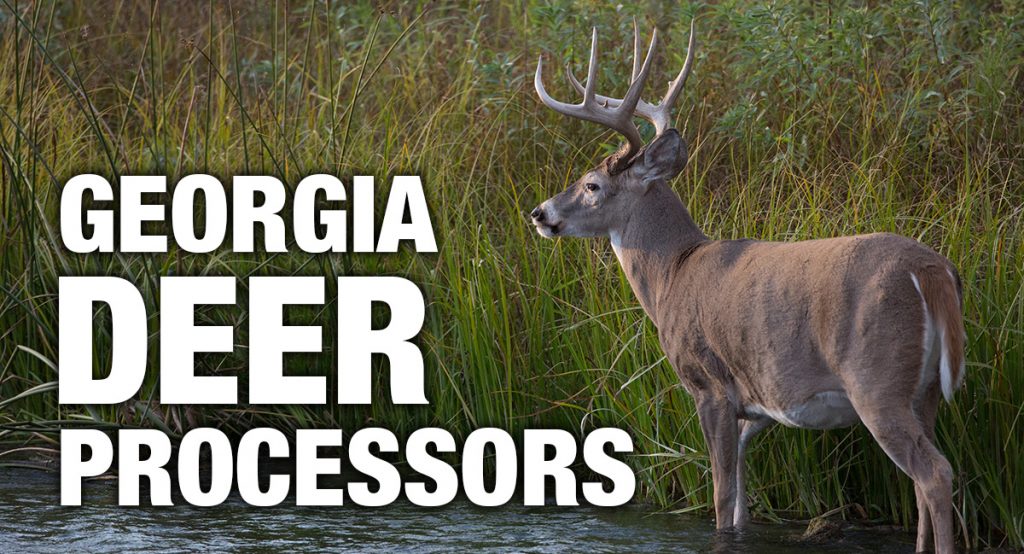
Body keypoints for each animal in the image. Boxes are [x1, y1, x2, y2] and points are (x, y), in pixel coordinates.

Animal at [530, 20, 965, 554]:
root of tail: (933, 271)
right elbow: (741, 506)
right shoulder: (752, 410)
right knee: (923, 479)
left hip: (877, 380)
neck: (673, 273)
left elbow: (720, 499)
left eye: (592, 184)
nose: (540, 213)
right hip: (925, 391)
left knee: (934, 474)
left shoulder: (709, 384)